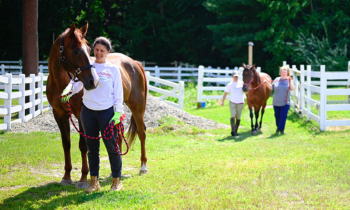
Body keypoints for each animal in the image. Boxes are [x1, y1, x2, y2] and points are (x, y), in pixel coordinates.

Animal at [46, 23, 148, 189]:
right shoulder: (59, 114)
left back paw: (143, 167)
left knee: (141, 132)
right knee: (118, 135)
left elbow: (83, 145)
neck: (60, 82)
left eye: (89, 50)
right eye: (75, 50)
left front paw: (83, 178)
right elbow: (66, 144)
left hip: (137, 108)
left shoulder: (81, 115)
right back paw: (115, 173)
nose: (93, 81)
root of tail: (135, 63)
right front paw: (66, 177)